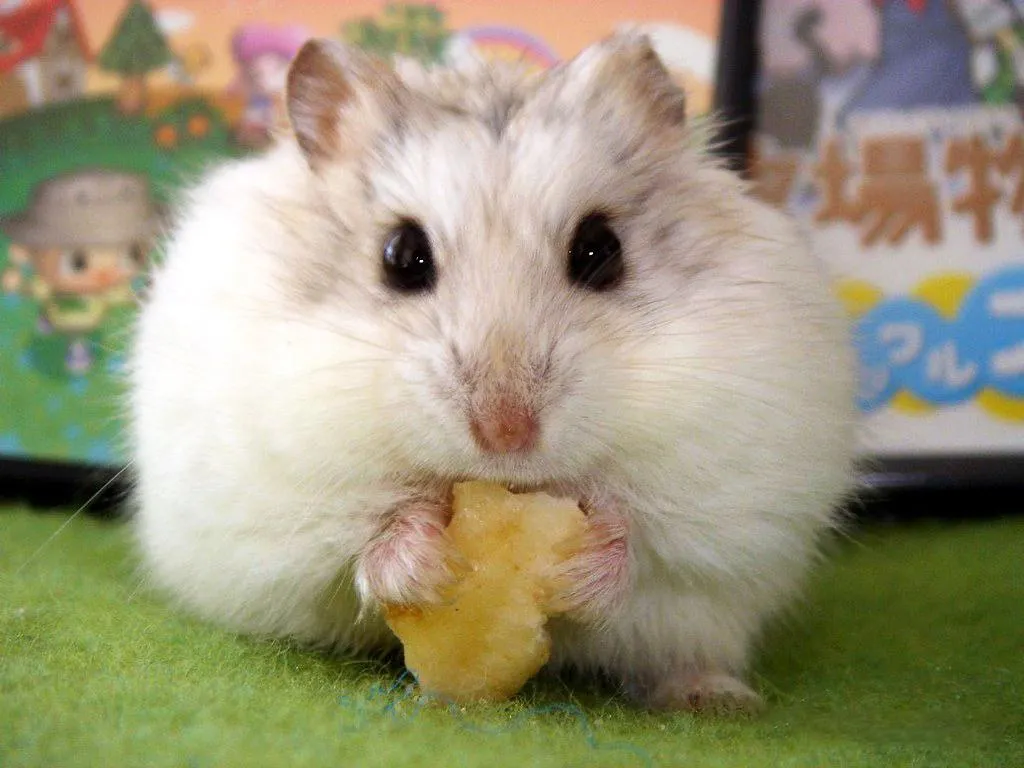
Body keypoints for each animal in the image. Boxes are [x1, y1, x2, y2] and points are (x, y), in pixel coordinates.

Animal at [127, 32, 858, 714]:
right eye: (402, 256)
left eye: (601, 251)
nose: (506, 435)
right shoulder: (273, 504)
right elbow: (357, 542)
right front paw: (428, 564)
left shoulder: (724, 525)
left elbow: (646, 552)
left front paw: (581, 566)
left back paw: (716, 698)